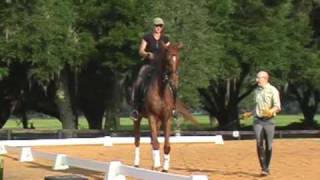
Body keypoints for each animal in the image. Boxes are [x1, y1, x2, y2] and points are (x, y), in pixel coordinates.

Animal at [132, 42, 182, 172]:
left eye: (179, 58)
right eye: (168, 59)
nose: (174, 81)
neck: (161, 90)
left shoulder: (167, 118)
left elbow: (166, 145)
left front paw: (164, 168)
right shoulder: (152, 117)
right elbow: (155, 143)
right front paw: (157, 165)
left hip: (159, 121)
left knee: (152, 139)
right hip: (138, 119)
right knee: (137, 140)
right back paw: (137, 163)